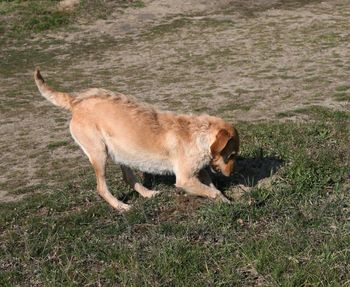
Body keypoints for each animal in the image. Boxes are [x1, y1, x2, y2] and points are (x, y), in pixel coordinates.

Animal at [34, 69, 239, 212]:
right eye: (231, 155)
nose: (230, 175)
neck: (197, 133)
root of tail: (76, 101)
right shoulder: (185, 179)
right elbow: (212, 190)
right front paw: (226, 202)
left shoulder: (199, 171)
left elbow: (212, 186)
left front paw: (226, 200)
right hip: (99, 154)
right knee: (101, 188)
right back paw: (121, 206)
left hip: (122, 152)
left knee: (128, 177)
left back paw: (148, 194)